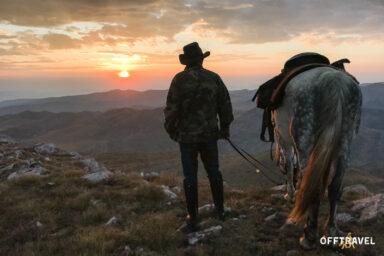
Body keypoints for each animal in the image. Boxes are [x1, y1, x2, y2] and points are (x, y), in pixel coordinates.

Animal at [272, 66, 360, 250]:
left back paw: (309, 236)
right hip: (345, 141)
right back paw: (332, 233)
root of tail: (334, 79)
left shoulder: (283, 139)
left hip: (305, 137)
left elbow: (290, 165)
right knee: (335, 187)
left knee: (313, 186)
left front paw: (290, 194)